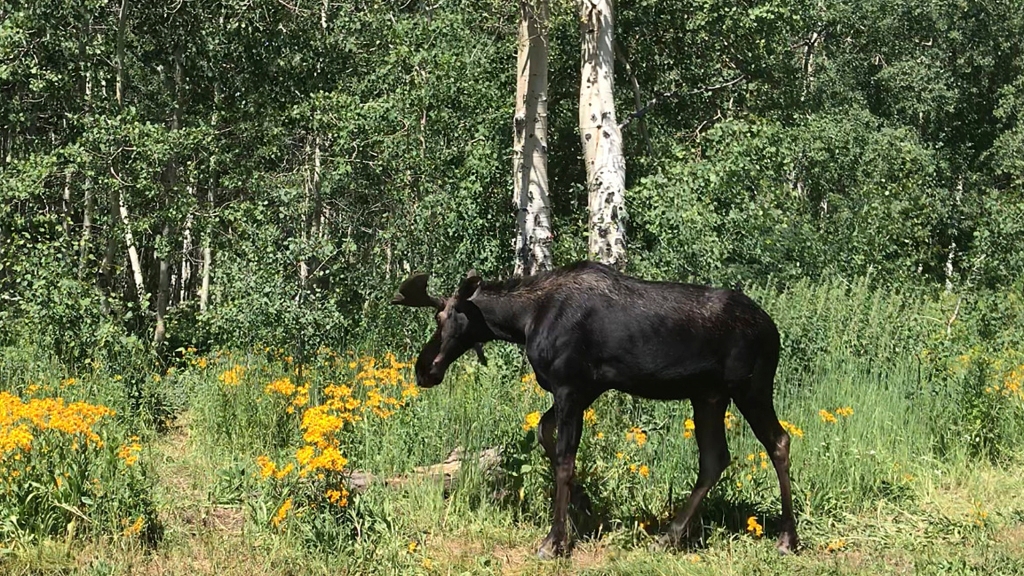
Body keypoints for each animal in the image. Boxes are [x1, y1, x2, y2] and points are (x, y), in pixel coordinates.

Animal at [391, 260, 798, 557]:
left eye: (444, 318)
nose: (424, 368)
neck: (523, 320)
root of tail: (775, 330)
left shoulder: (570, 387)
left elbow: (564, 461)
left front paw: (554, 541)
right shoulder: (583, 390)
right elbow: (546, 435)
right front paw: (583, 510)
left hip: (750, 387)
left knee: (778, 441)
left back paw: (787, 539)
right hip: (708, 396)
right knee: (715, 459)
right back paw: (670, 536)